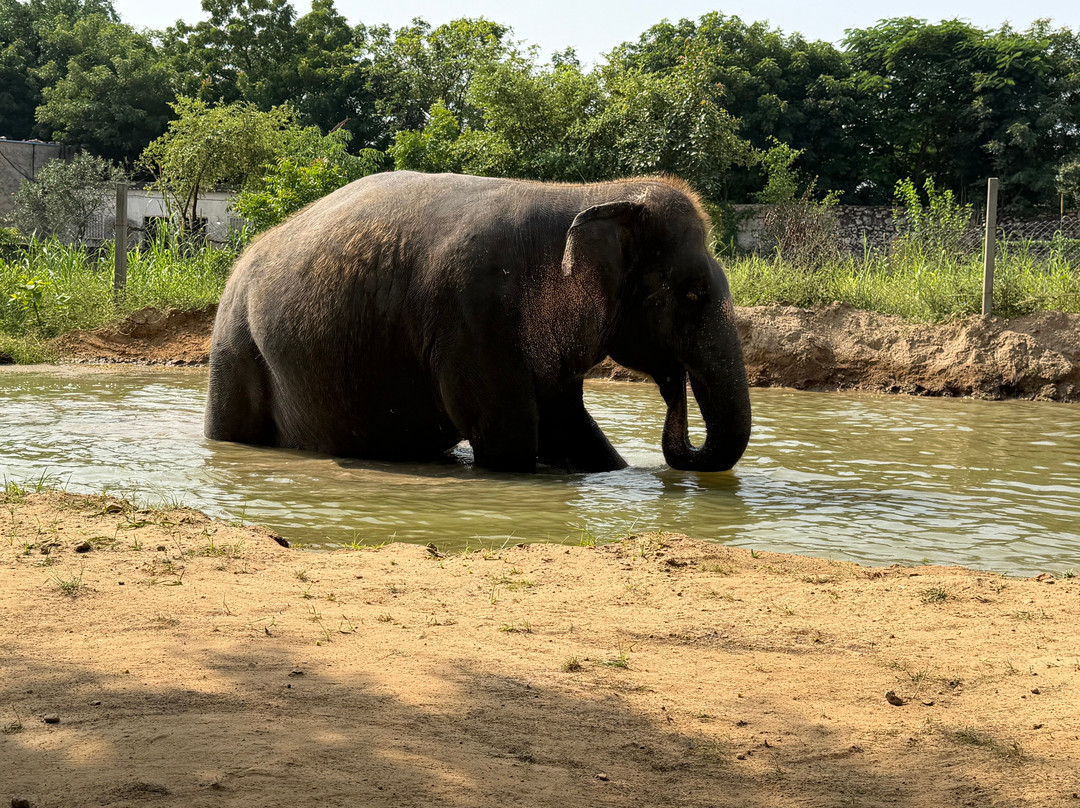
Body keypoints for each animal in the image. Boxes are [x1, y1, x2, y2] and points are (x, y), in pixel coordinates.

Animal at [205, 171, 751, 473]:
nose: (673, 382)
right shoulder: (475, 318)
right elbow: (510, 440)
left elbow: (569, 426)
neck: (590, 196)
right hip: (237, 346)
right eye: (692, 293)